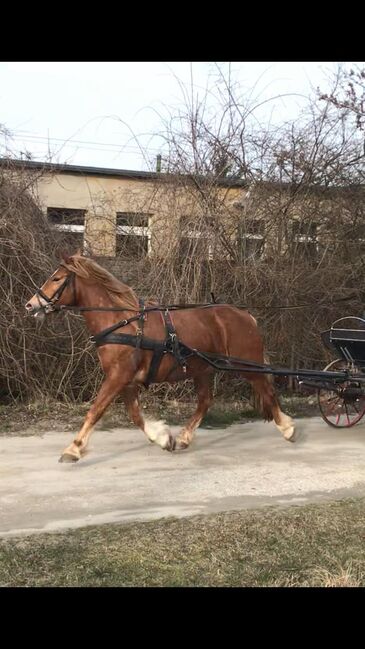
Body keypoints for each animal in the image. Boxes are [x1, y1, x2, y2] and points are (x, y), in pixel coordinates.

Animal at [24, 253, 292, 460]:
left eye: (57, 278)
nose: (31, 304)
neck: (122, 322)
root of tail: (245, 316)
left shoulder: (118, 377)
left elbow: (96, 410)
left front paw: (73, 448)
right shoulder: (126, 380)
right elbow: (135, 416)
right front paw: (163, 438)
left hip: (246, 365)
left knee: (267, 392)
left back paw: (287, 428)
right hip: (202, 370)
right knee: (205, 402)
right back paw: (184, 438)